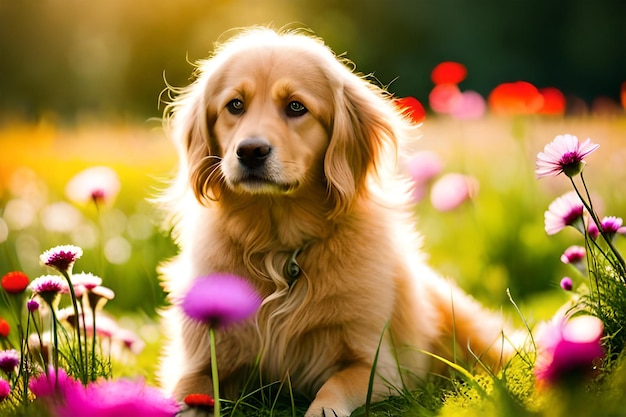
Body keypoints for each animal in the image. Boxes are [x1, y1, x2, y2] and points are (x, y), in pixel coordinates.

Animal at [157, 27, 512, 414]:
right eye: (235, 105)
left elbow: (333, 387)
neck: (279, 250)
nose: (250, 151)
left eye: (296, 106)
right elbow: (185, 393)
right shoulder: (199, 361)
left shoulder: (377, 366)